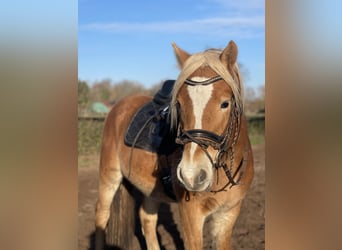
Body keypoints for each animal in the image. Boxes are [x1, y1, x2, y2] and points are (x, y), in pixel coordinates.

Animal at [95, 40, 252, 249]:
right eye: (178, 104)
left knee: (146, 218)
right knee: (101, 215)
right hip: (109, 174)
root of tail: (118, 106)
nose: (191, 175)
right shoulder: (191, 214)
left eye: (225, 103)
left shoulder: (229, 214)